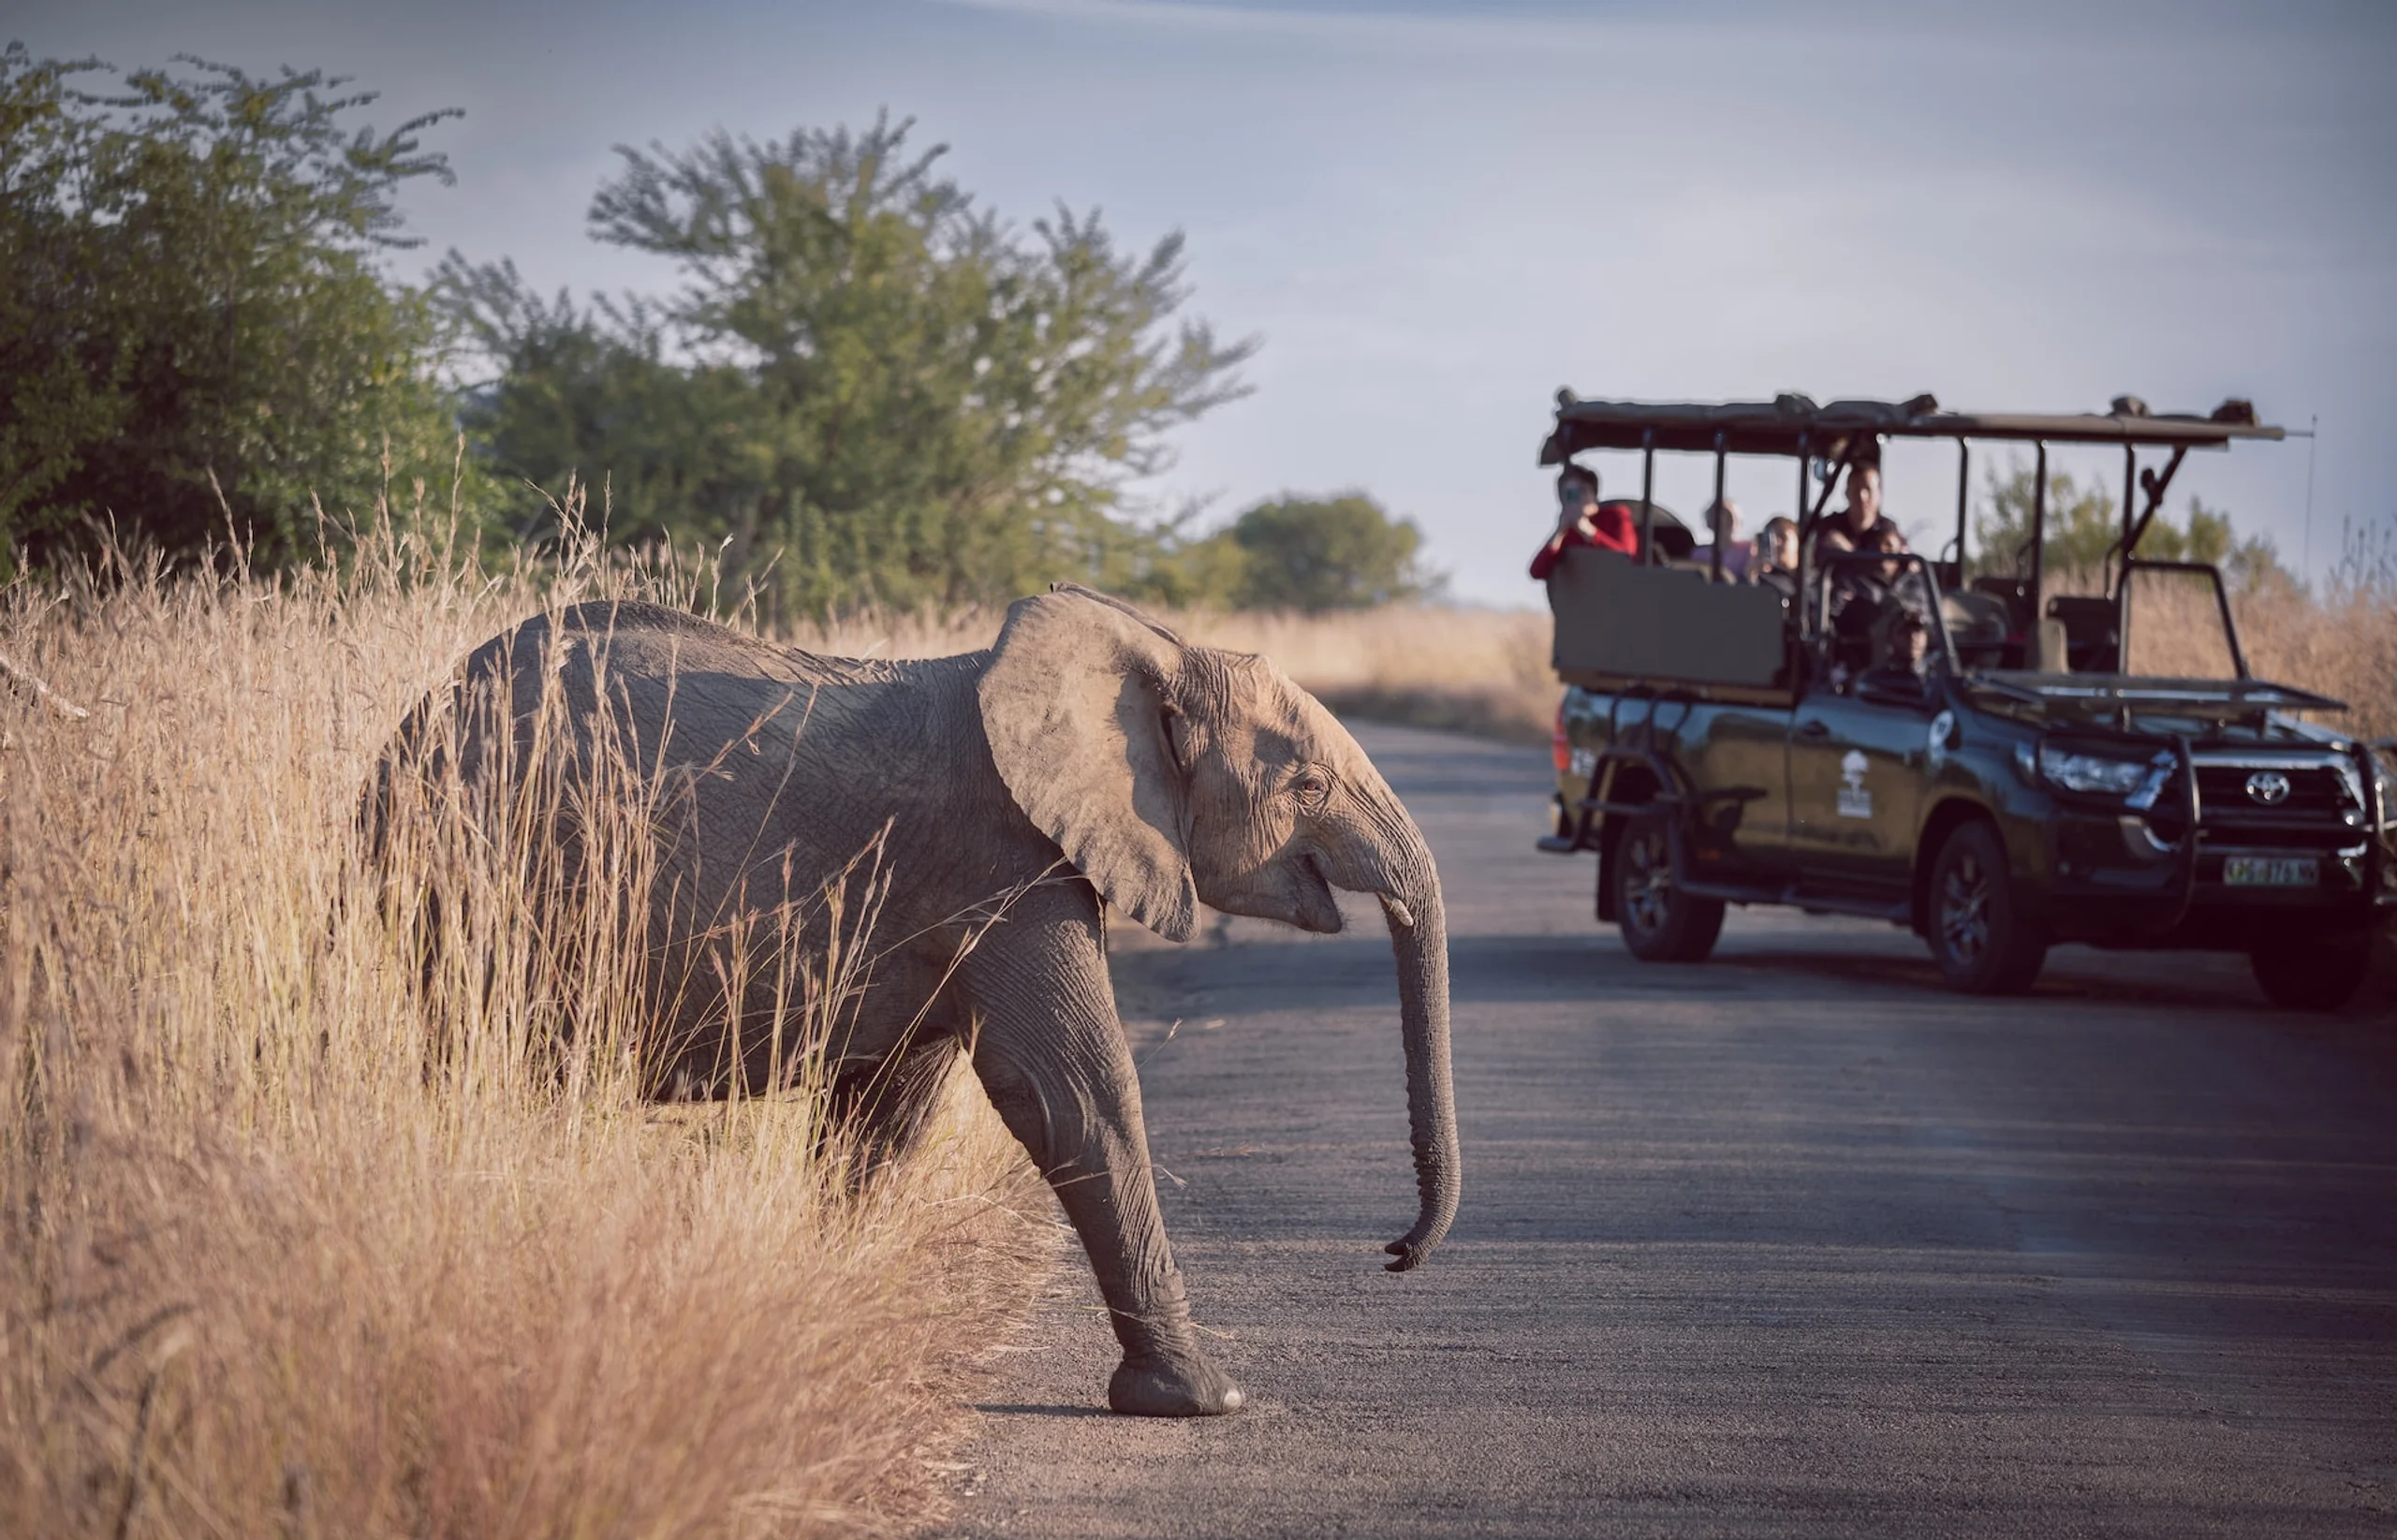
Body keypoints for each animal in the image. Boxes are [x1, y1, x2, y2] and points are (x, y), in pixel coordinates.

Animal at [368, 584, 1459, 1417]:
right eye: (1307, 784)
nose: (1394, 1253)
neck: (1143, 646)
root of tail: (409, 727)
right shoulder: (1004, 859)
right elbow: (1072, 1090)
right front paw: (1199, 1401)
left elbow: (888, 1107)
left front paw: (824, 1314)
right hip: (478, 877)